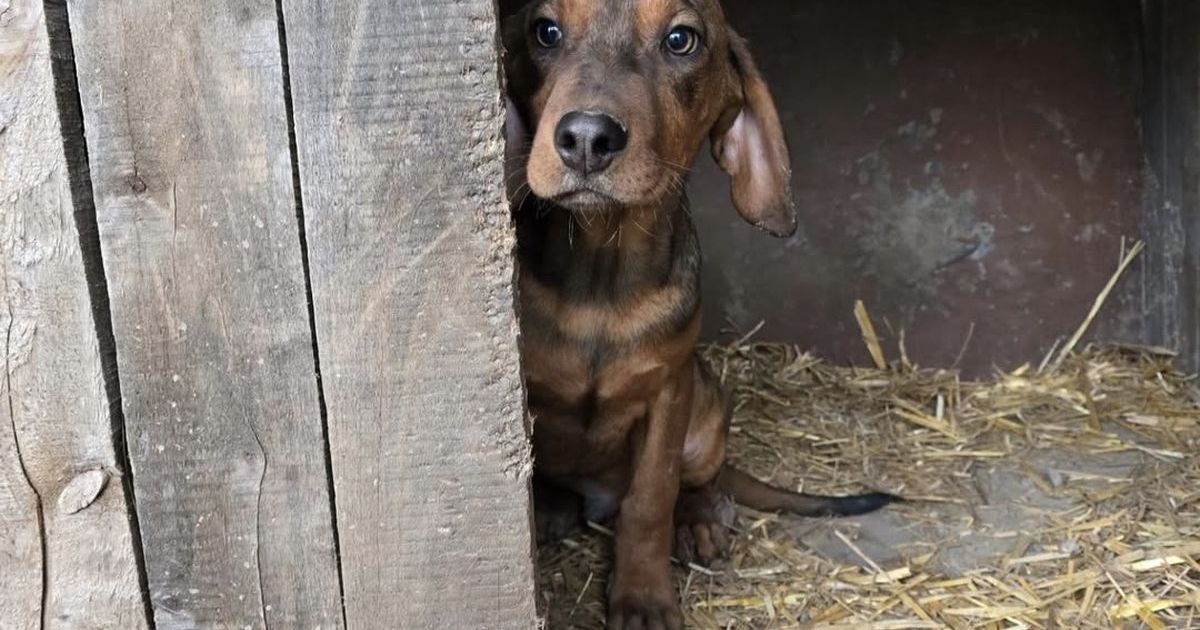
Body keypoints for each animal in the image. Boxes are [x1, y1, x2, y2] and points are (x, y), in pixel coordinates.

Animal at [499, 2, 902, 624]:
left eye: (680, 40)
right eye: (545, 30)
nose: (587, 137)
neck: (603, 271)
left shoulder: (670, 392)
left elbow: (651, 500)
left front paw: (643, 595)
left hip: (707, 407)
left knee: (701, 483)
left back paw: (699, 522)